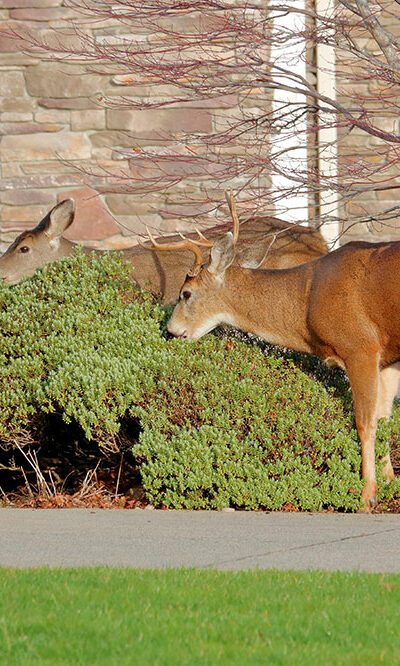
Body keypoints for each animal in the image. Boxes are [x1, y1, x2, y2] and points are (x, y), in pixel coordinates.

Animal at [145, 192, 400, 508]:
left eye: (186, 294)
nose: (171, 329)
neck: (306, 300)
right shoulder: (387, 357)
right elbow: (385, 418)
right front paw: (390, 482)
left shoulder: (360, 346)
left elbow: (365, 422)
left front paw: (367, 495)